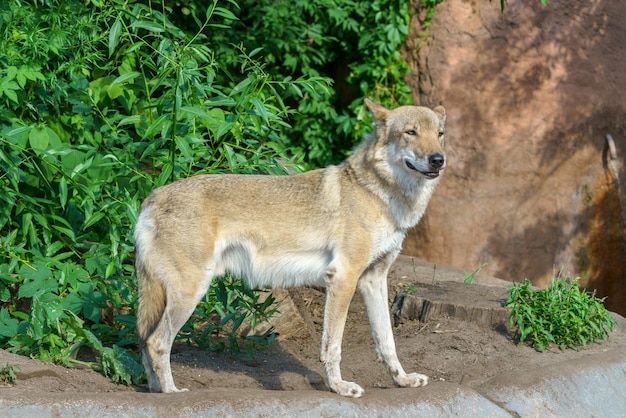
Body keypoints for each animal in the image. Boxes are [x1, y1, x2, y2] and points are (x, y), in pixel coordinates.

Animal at [134, 97, 446, 396]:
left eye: (439, 134)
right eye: (411, 132)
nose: (438, 160)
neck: (380, 195)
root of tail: (151, 199)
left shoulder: (374, 279)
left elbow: (387, 342)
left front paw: (402, 380)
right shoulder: (343, 278)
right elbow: (333, 346)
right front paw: (339, 388)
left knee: (143, 340)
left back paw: (155, 390)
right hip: (191, 291)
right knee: (156, 342)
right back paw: (171, 392)